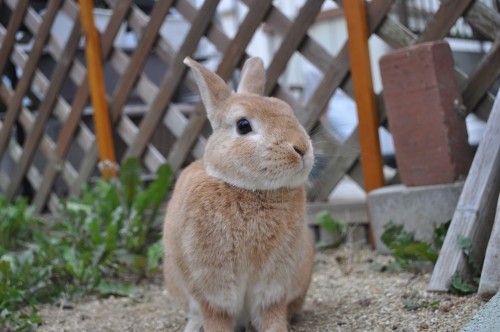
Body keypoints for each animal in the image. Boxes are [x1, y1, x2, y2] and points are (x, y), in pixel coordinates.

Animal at [163, 56, 312, 332]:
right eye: (243, 125)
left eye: (287, 110)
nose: (302, 148)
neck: (248, 190)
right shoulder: (213, 287)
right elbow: (216, 317)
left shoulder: (274, 283)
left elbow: (271, 314)